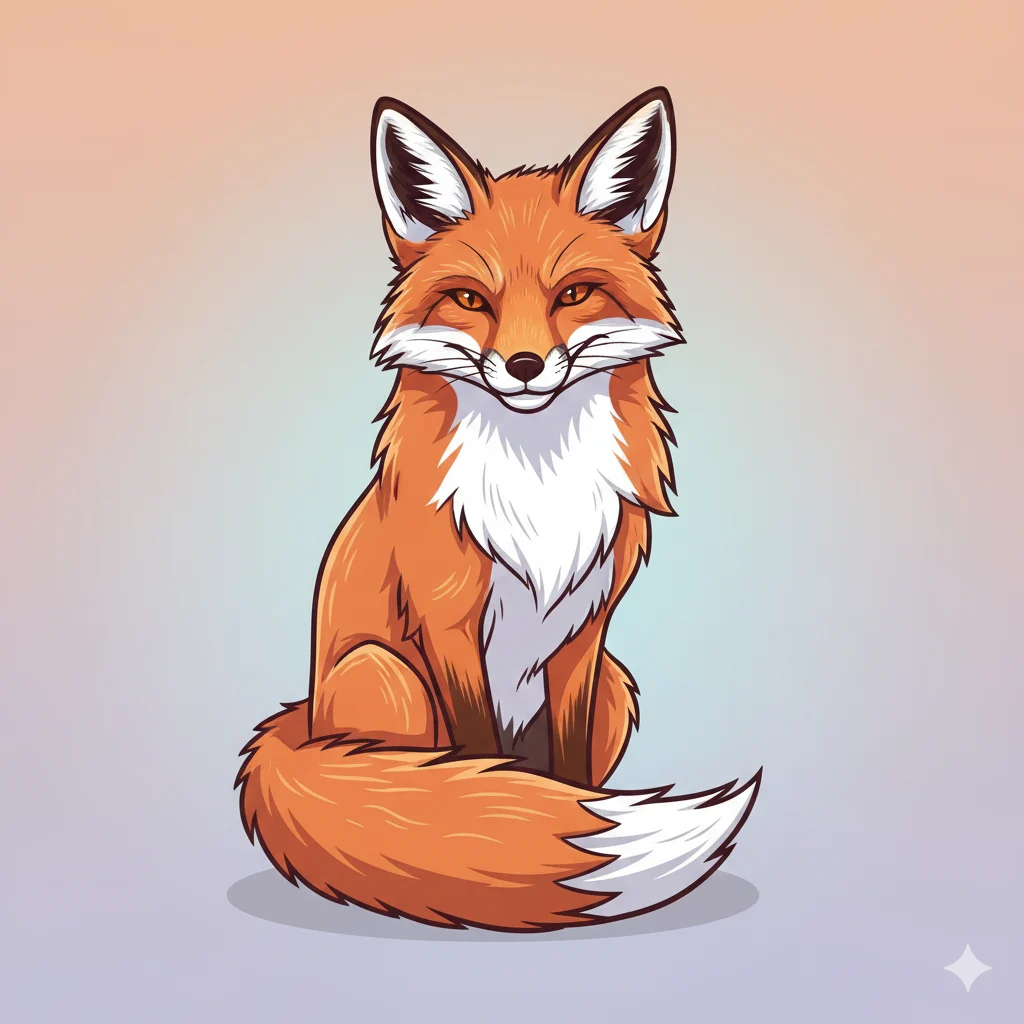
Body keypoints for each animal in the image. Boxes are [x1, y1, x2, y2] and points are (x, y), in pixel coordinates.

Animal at [236, 87, 761, 931]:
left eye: (572, 294)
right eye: (470, 300)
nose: (522, 366)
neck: (537, 479)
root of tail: (301, 718)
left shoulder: (586, 632)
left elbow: (570, 777)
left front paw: (558, 820)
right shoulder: (449, 622)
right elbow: (482, 758)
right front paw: (501, 828)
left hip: (618, 685)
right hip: (386, 674)